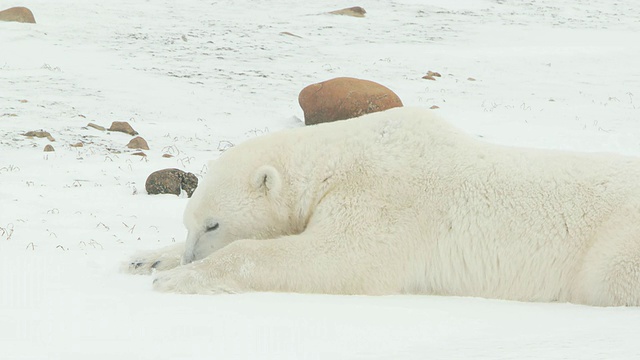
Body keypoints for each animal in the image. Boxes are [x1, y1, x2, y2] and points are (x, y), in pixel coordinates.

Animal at [125, 107, 640, 306]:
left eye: (214, 224)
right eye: (189, 223)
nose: (191, 255)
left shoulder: (384, 197)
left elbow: (337, 258)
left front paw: (179, 278)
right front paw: (147, 259)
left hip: (614, 247)